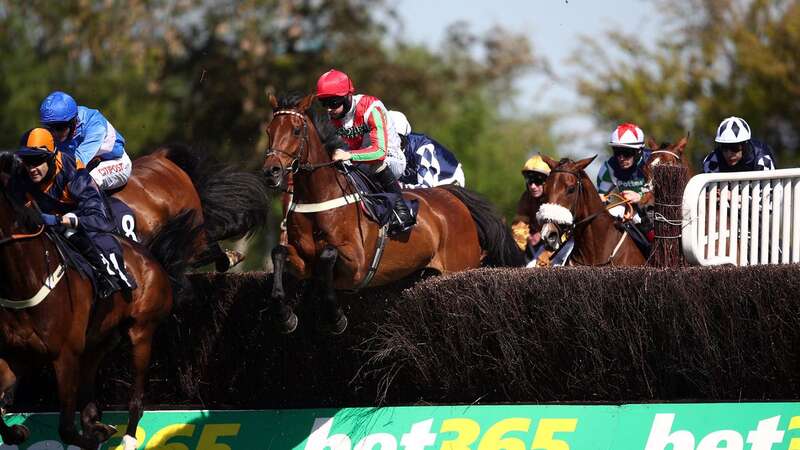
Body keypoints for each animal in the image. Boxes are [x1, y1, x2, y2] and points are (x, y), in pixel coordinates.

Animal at [0, 163, 197, 448]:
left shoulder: (65, 355)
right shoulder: (17, 354)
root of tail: (150, 256)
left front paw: (93, 436)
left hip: (142, 332)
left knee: (136, 397)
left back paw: (129, 437)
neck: (27, 278)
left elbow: (66, 428)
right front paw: (16, 432)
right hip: (97, 340)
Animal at [262, 93, 524, 334]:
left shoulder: (357, 266)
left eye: (296, 130)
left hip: (460, 266)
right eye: (269, 130)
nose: (271, 171)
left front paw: (335, 317)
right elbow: (279, 252)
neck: (321, 196)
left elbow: (327, 255)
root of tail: (452, 196)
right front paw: (285, 315)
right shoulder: (303, 260)